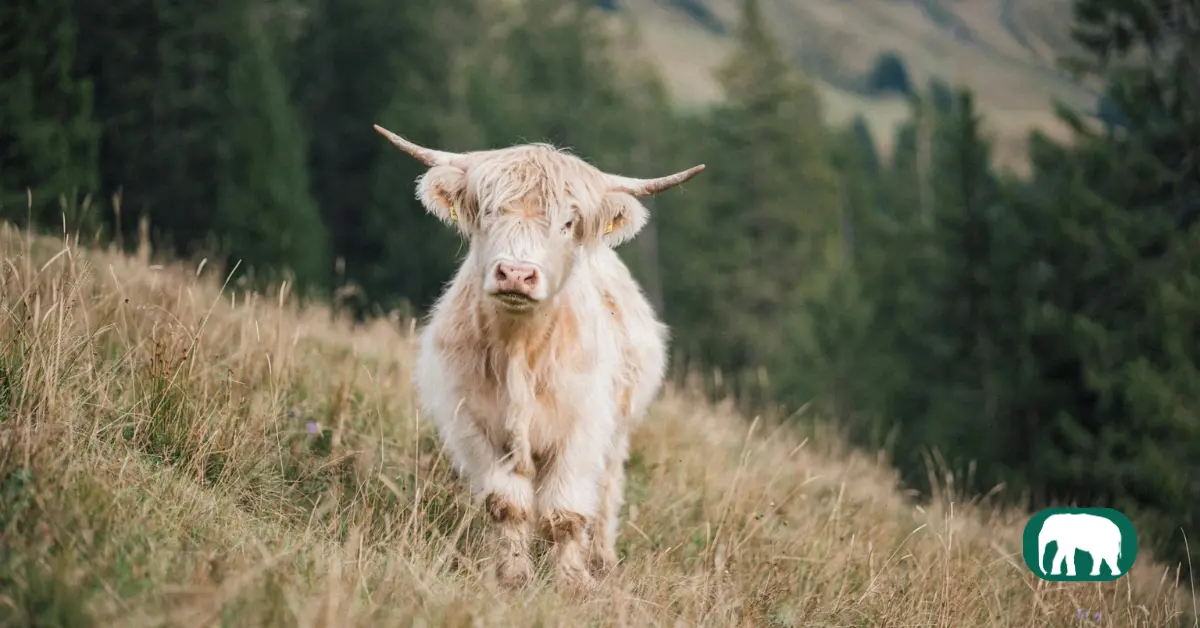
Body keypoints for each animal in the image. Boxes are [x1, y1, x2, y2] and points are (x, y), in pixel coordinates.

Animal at [374, 124, 704, 592]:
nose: (516, 273)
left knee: (606, 492)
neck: (519, 350)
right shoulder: (474, 425)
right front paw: (512, 577)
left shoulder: (581, 429)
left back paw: (601, 558)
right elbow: (507, 505)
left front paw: (572, 582)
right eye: (488, 210)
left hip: (617, 430)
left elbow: (565, 514)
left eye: (567, 223)